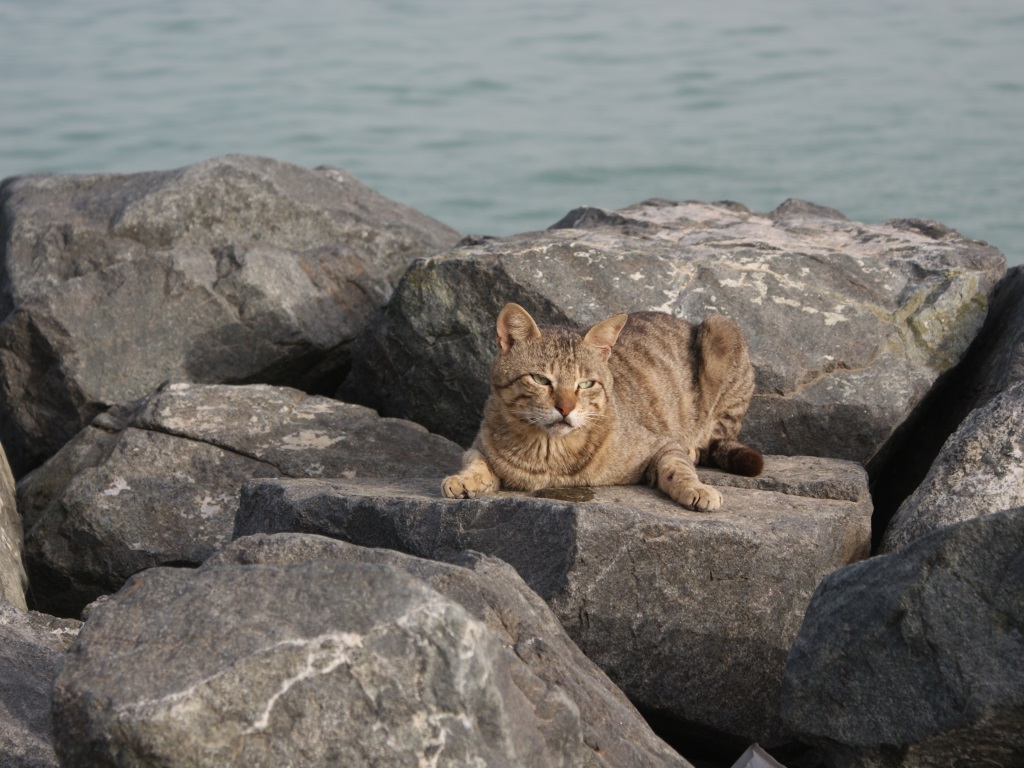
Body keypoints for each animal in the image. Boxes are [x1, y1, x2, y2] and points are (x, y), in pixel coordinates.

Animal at [440, 303, 761, 514]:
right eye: (541, 379)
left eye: (585, 384)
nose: (565, 408)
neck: (549, 452)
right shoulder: (478, 444)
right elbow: (475, 462)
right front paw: (464, 479)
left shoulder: (661, 444)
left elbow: (677, 468)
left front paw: (696, 488)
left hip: (722, 330)